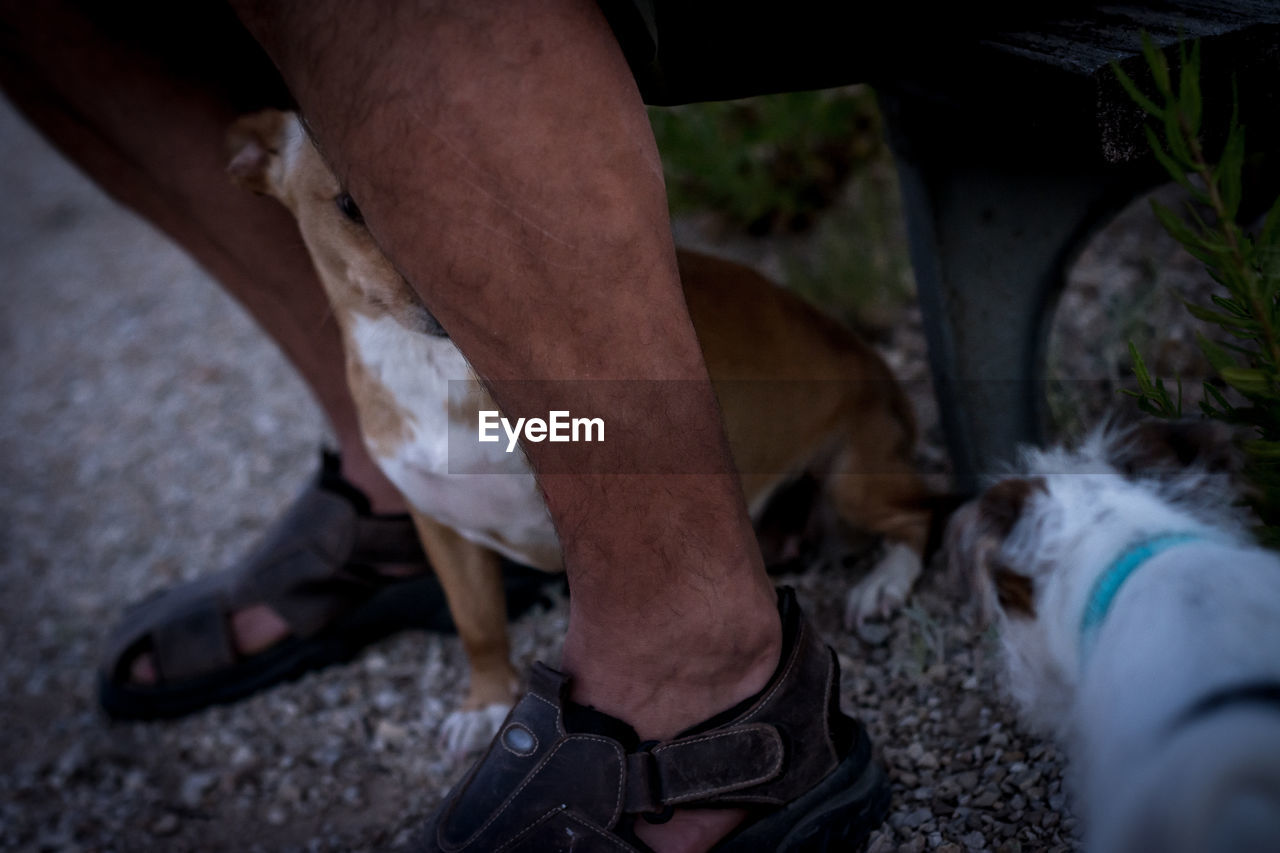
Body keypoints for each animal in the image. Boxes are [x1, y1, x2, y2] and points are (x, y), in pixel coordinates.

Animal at [227, 109, 931, 747]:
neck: (432, 369)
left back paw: (883, 584)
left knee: (923, 515)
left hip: (855, 482)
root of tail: (873, 362)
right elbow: (476, 622)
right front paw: (487, 702)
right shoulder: (440, 526)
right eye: (351, 204)